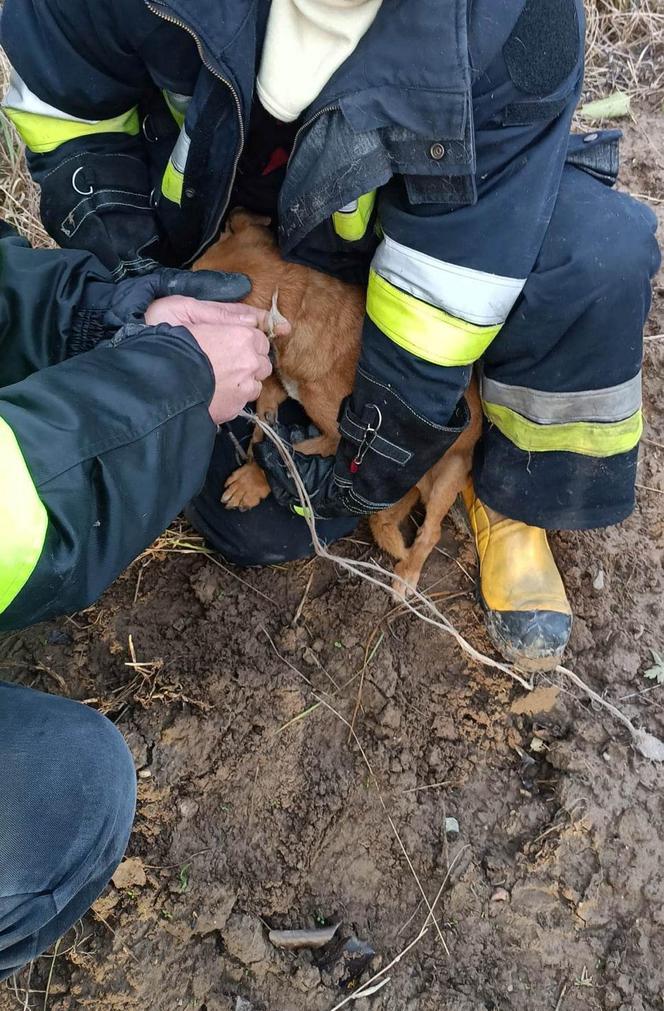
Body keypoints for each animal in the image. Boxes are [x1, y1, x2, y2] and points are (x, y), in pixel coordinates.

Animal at [194, 211, 479, 590]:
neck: (301, 302)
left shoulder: (341, 437)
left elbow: (292, 455)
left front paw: (254, 480)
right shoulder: (281, 383)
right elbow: (267, 428)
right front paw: (257, 454)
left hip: (449, 473)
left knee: (431, 531)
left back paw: (407, 574)